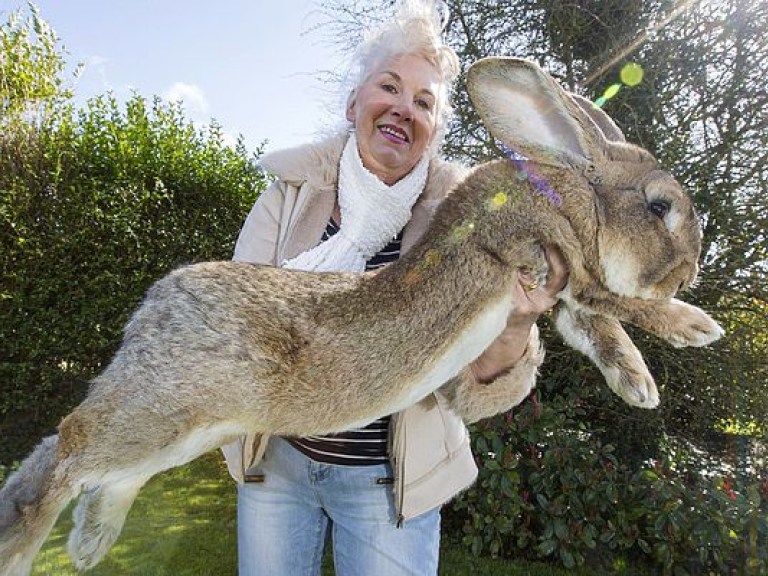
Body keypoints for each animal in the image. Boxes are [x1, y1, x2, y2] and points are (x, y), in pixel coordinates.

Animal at [0, 57, 724, 572]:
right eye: (660, 207)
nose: (690, 270)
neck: (569, 194)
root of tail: (152, 308)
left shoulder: (562, 292)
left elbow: (597, 328)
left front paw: (638, 385)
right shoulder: (545, 257)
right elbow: (617, 302)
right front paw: (694, 327)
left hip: (189, 430)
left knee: (103, 472)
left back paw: (91, 543)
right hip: (164, 409)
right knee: (65, 449)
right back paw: (23, 546)